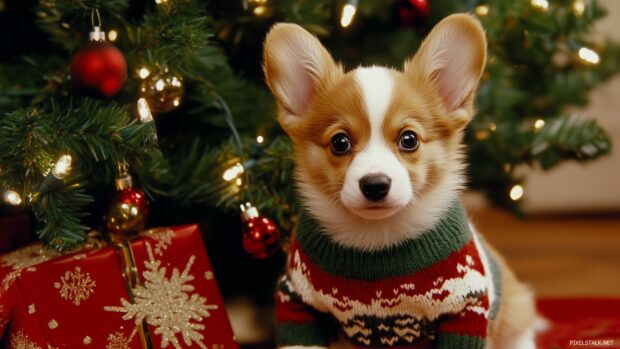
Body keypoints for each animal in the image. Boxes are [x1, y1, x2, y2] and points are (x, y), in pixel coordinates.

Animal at [264, 13, 540, 348]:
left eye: (409, 139)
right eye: (340, 143)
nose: (375, 185)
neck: (377, 240)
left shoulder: (466, 308)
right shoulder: (296, 299)